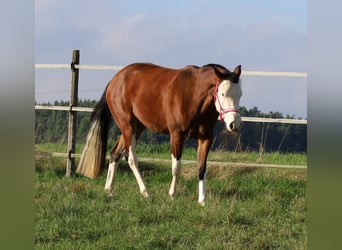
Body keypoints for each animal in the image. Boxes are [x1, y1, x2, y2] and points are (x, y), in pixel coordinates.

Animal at [77, 62, 243, 205]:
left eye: (240, 94)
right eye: (222, 94)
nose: (234, 124)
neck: (194, 95)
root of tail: (115, 80)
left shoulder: (205, 138)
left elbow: (202, 168)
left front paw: (202, 200)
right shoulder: (176, 135)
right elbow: (176, 167)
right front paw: (172, 195)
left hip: (137, 127)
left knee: (115, 154)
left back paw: (109, 190)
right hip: (127, 125)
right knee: (130, 158)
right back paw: (145, 192)